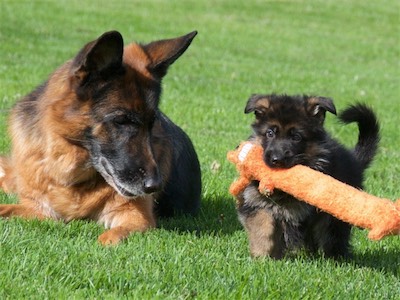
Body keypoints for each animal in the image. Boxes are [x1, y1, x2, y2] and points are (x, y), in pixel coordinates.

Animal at [0, 30, 202, 245]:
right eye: (121, 120)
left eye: (152, 123)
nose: (154, 186)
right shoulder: (38, 209)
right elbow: (5, 208)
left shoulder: (136, 217)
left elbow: (107, 239)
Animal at [236, 95, 380, 258]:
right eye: (270, 133)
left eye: (296, 137)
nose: (276, 160)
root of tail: (354, 160)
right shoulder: (254, 202)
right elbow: (262, 225)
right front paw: (263, 255)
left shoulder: (302, 212)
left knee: (332, 235)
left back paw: (335, 257)